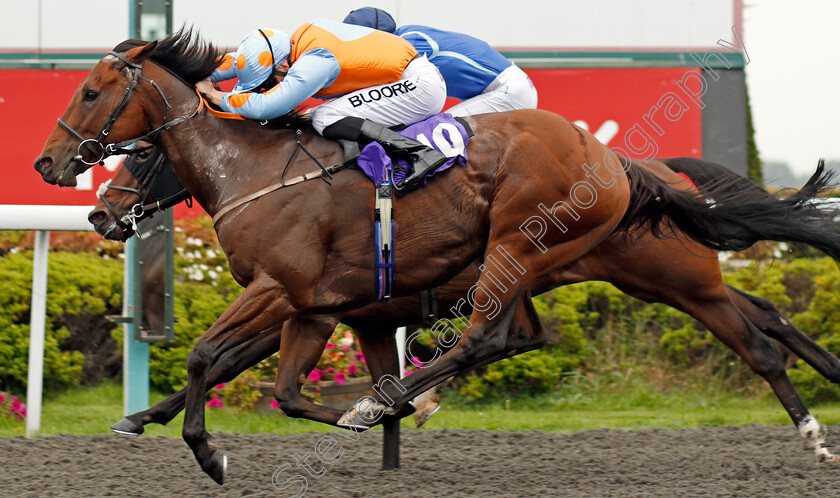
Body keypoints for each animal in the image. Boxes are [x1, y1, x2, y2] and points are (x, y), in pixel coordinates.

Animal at [36, 28, 840, 482]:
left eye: (92, 93)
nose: (57, 174)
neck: (255, 169)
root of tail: (618, 161)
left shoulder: (282, 289)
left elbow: (211, 357)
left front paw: (212, 451)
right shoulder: (316, 305)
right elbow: (274, 385)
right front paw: (144, 420)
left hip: (555, 252)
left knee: (495, 335)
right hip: (576, 266)